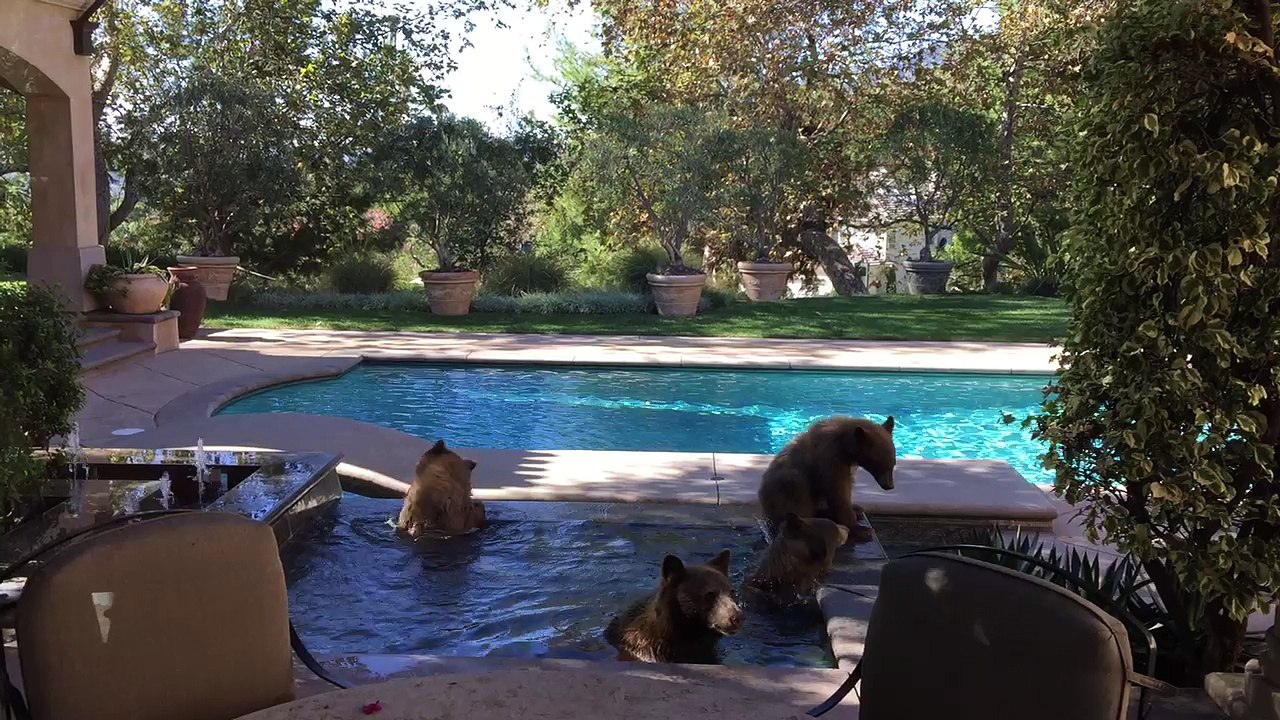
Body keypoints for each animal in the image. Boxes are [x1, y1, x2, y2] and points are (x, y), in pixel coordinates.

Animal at [757, 415, 896, 544]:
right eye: (882, 466)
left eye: (893, 465)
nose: (889, 486)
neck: (844, 447)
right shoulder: (830, 461)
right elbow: (838, 492)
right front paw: (861, 529)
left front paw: (854, 508)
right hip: (788, 485)